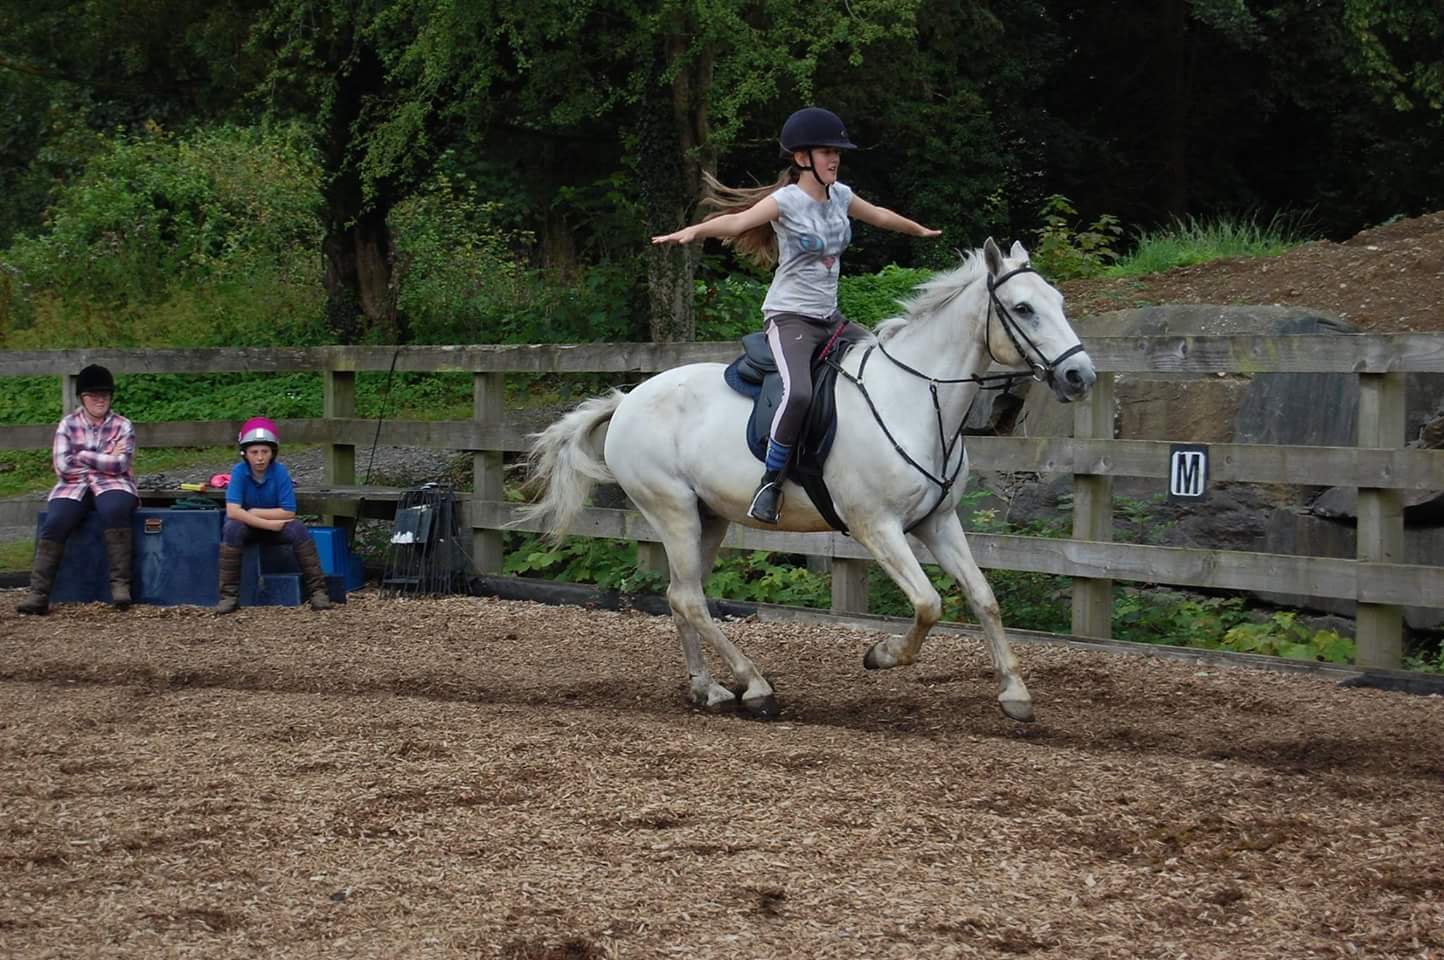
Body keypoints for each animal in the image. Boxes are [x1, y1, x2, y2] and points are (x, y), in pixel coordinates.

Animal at [517, 239, 1096, 722]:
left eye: (1059, 302)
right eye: (1022, 309)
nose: (1080, 377)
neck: (914, 399)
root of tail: (627, 401)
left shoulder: (938, 522)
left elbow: (983, 596)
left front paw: (1015, 694)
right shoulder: (877, 528)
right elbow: (929, 603)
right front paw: (881, 655)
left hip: (707, 518)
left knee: (682, 594)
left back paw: (709, 689)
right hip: (673, 511)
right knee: (690, 599)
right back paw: (755, 687)